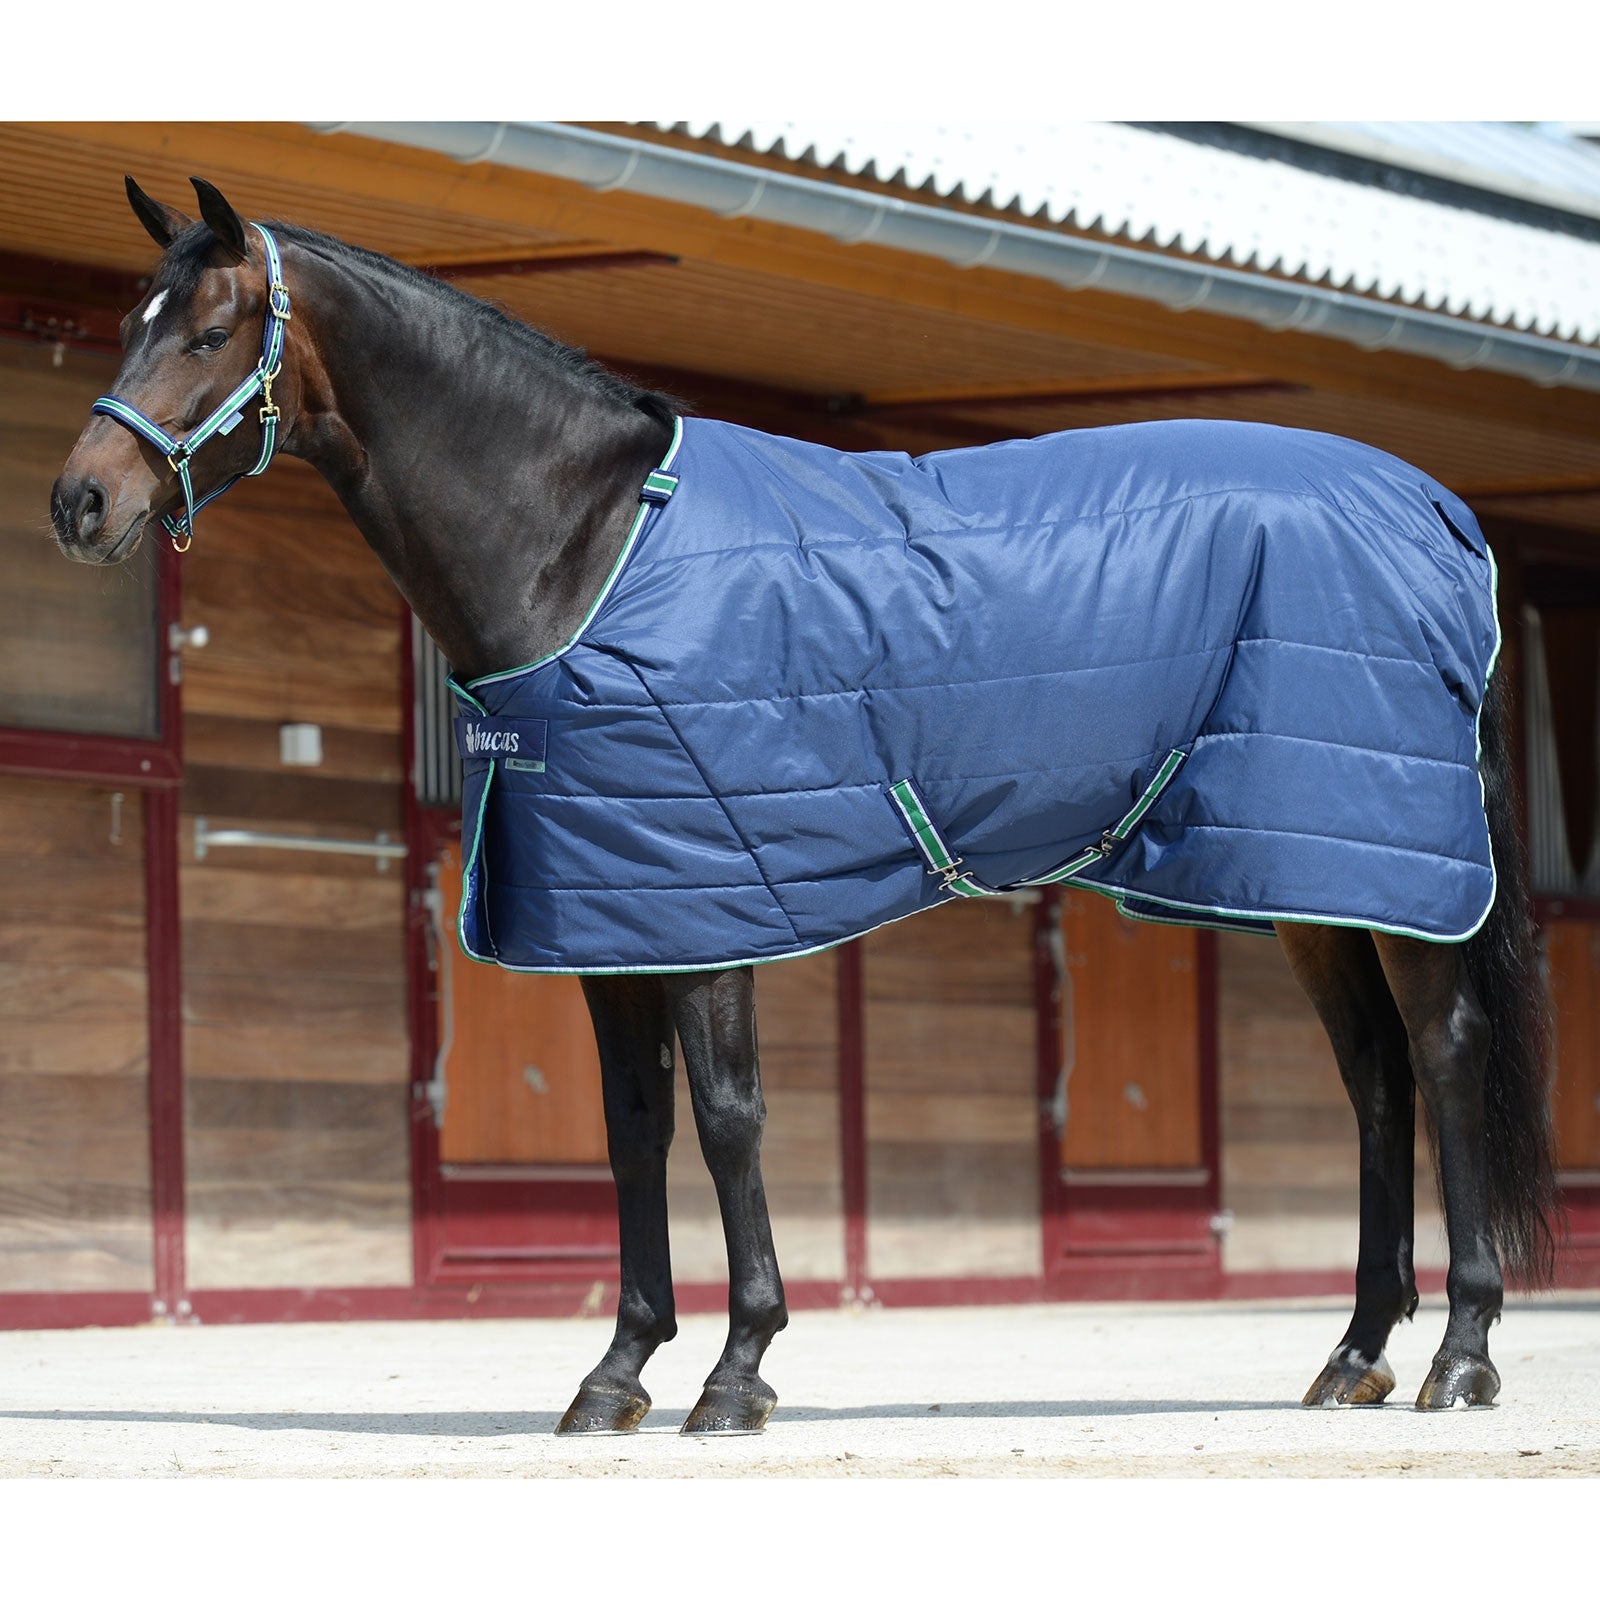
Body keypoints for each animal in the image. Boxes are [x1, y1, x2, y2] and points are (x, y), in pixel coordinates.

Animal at [49, 176, 1558, 1434]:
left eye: (212, 329)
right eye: (128, 324)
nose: (78, 503)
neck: (590, 545)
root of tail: (1436, 509)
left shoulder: (710, 893)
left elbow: (728, 1118)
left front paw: (737, 1369)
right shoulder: (611, 915)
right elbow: (634, 1129)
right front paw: (616, 1372)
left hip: (1383, 874)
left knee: (1442, 1056)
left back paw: (1460, 1355)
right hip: (1306, 876)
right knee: (1373, 1083)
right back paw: (1353, 1354)